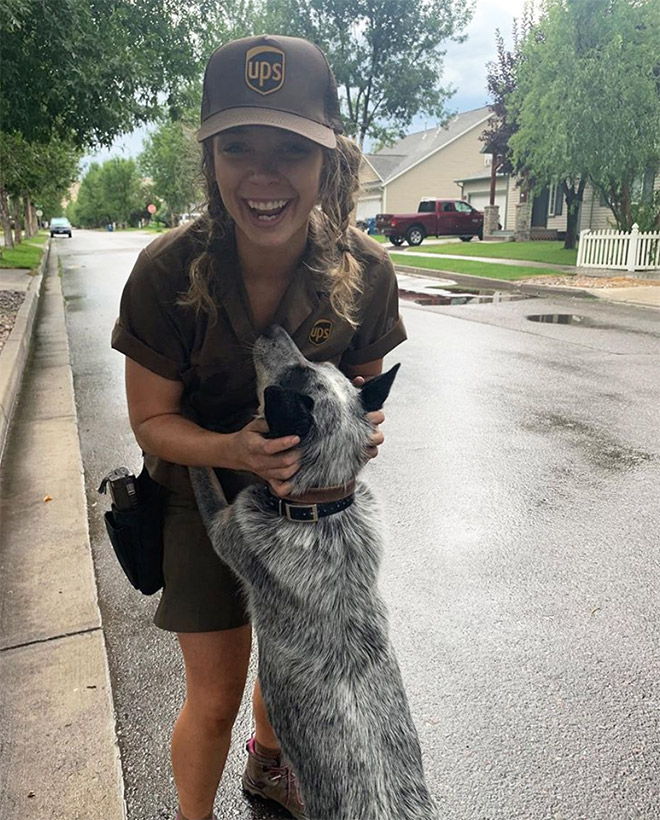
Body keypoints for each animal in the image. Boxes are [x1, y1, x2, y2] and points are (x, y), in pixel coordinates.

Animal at [191, 326, 438, 820]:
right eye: (320, 365)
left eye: (292, 375)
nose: (272, 329)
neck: (320, 507)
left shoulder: (225, 524)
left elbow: (202, 472)